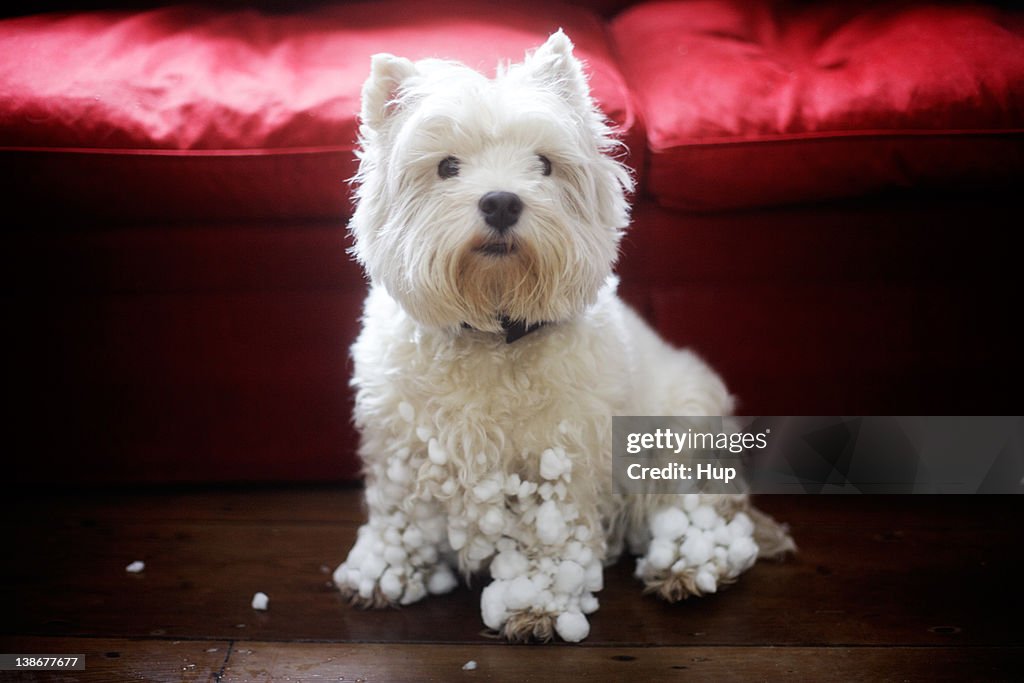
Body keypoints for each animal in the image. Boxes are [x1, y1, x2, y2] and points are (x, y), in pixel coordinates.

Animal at [335, 30, 790, 643]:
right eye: (447, 166)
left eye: (544, 164)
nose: (501, 201)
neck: (492, 329)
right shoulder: (400, 448)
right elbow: (397, 513)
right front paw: (385, 574)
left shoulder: (564, 457)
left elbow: (556, 535)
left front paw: (540, 606)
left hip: (676, 437)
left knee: (704, 515)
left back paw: (684, 568)